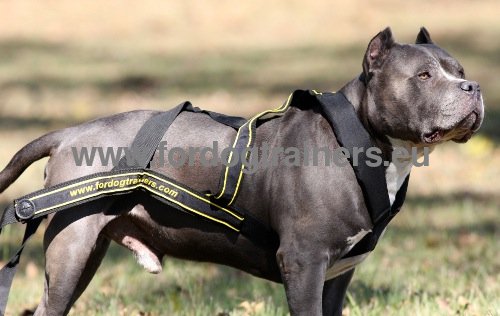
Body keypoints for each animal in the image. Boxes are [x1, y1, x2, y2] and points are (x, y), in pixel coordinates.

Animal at [0, 26, 484, 314]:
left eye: (459, 69)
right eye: (424, 76)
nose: (474, 86)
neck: (360, 142)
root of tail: (69, 133)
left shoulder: (337, 276)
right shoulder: (304, 263)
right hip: (72, 250)